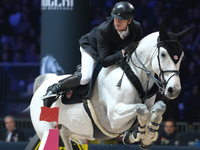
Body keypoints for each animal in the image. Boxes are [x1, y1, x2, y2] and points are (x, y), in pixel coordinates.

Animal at [30, 20, 195, 149]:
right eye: (163, 54)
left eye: (181, 56)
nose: (174, 90)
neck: (135, 75)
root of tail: (43, 84)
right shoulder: (114, 119)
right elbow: (141, 109)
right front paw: (141, 133)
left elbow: (158, 107)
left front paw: (146, 136)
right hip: (46, 131)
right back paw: (52, 92)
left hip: (69, 131)